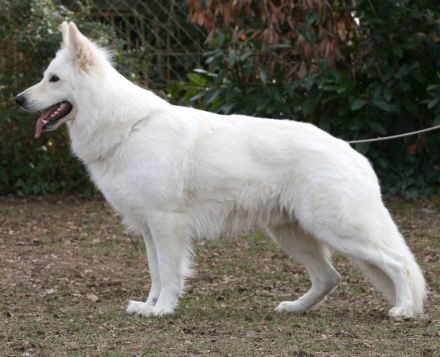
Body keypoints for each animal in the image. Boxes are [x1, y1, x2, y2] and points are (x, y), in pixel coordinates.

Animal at [17, 21, 426, 318]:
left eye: (53, 79)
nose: (19, 99)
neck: (127, 126)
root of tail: (351, 152)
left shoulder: (166, 225)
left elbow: (169, 273)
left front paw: (163, 310)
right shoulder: (148, 228)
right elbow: (155, 272)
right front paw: (148, 306)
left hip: (336, 228)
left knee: (399, 264)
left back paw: (404, 309)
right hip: (291, 233)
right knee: (331, 277)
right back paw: (295, 308)